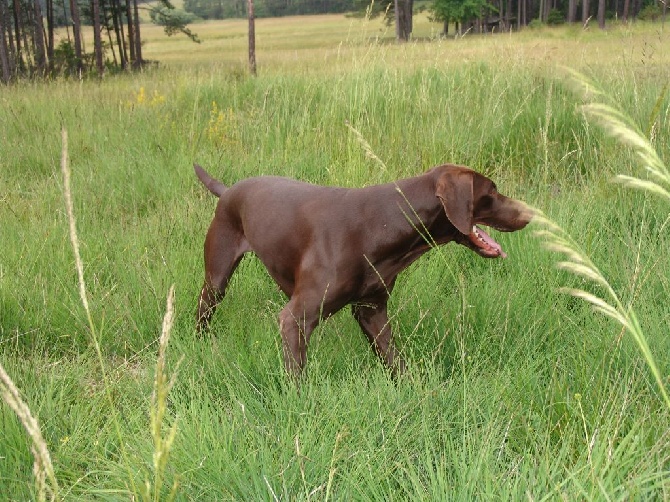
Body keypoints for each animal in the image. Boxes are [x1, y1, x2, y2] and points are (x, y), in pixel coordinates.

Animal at [196, 162, 536, 376]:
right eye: (491, 191)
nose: (530, 213)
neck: (386, 222)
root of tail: (228, 191)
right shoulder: (295, 319)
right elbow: (297, 378)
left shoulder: (372, 311)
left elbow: (397, 364)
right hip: (216, 278)